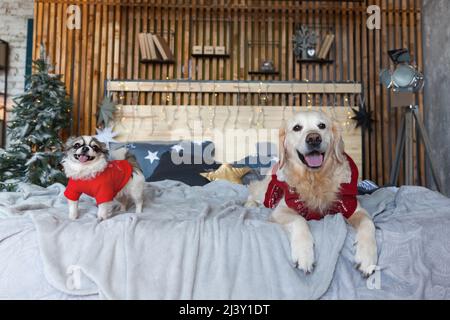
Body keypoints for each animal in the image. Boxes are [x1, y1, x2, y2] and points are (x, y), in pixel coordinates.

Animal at [248, 110, 378, 276]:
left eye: (322, 126)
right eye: (297, 128)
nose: (314, 138)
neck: (314, 178)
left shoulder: (353, 207)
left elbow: (368, 223)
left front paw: (367, 256)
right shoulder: (281, 210)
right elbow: (299, 220)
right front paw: (304, 254)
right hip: (265, 191)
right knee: (252, 190)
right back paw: (250, 204)